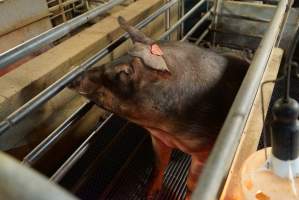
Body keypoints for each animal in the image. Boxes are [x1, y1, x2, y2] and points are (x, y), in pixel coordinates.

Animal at [69, 16, 250, 199]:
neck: (167, 130)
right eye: (118, 57)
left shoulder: (204, 151)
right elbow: (158, 165)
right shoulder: (158, 138)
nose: (73, 80)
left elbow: (191, 184)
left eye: (124, 72)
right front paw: (149, 194)